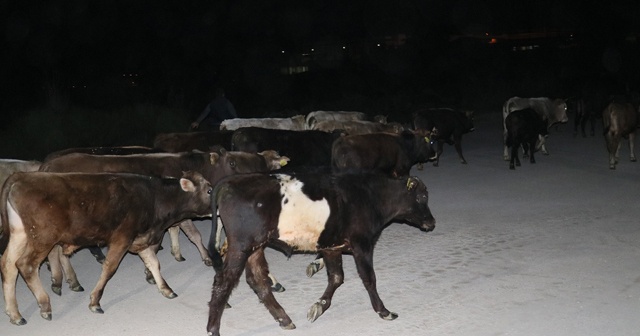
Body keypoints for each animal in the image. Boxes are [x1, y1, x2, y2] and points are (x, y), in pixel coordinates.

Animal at [0, 172, 212, 324]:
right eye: (209, 190)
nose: (215, 207)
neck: (154, 197)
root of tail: (23, 176)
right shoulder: (122, 238)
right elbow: (110, 268)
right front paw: (95, 301)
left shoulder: (139, 238)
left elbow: (154, 263)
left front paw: (166, 288)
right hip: (43, 238)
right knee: (25, 265)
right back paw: (44, 305)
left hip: (20, 235)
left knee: (8, 266)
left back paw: (15, 314)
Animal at [205, 173, 436, 336]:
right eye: (423, 196)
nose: (432, 222)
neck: (370, 197)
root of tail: (232, 181)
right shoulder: (362, 244)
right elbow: (369, 278)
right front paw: (384, 311)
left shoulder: (331, 247)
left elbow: (336, 278)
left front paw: (319, 306)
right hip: (241, 245)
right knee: (224, 282)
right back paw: (213, 329)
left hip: (255, 247)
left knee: (257, 281)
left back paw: (284, 319)